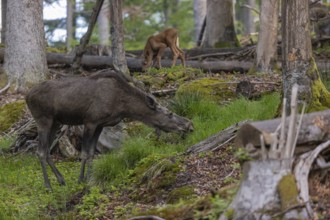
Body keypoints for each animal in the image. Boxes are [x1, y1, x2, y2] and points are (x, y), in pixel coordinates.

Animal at [25, 70, 193, 189]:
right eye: (170, 114)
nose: (189, 125)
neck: (123, 106)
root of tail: (26, 96)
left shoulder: (100, 125)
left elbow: (92, 153)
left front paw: (89, 179)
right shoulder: (90, 121)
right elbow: (84, 153)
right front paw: (81, 180)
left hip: (55, 122)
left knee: (47, 150)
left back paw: (61, 180)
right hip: (44, 120)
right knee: (40, 151)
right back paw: (48, 186)